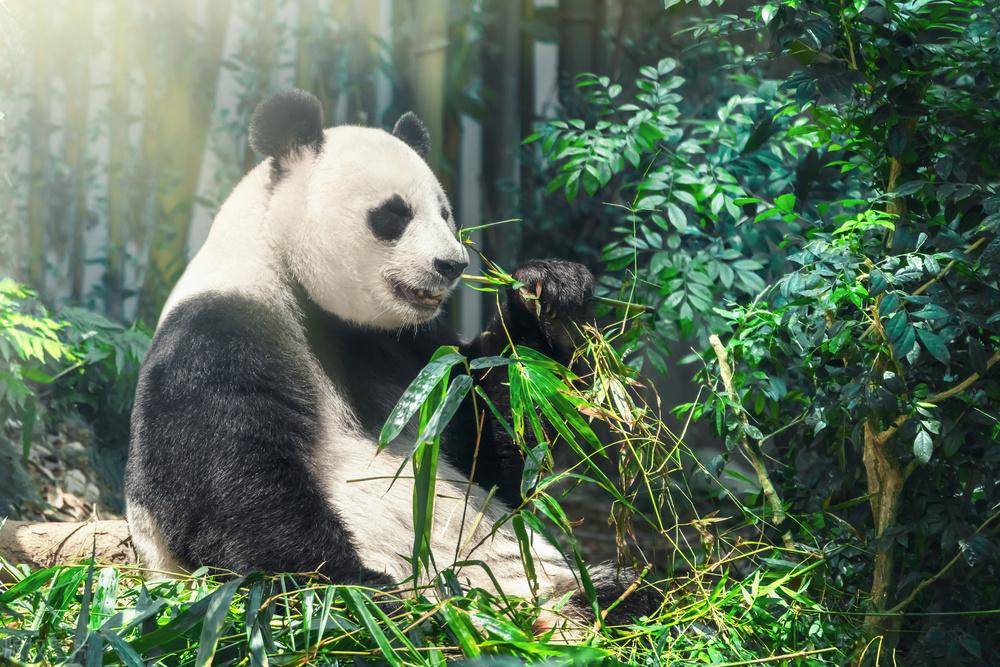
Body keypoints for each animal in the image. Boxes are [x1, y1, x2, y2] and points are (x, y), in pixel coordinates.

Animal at [125, 88, 656, 632]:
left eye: (445, 213)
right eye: (394, 214)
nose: (452, 265)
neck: (290, 269)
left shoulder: (408, 346)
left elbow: (489, 445)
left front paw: (548, 293)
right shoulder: (220, 334)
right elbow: (240, 496)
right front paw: (368, 597)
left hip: (540, 576)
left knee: (631, 592)